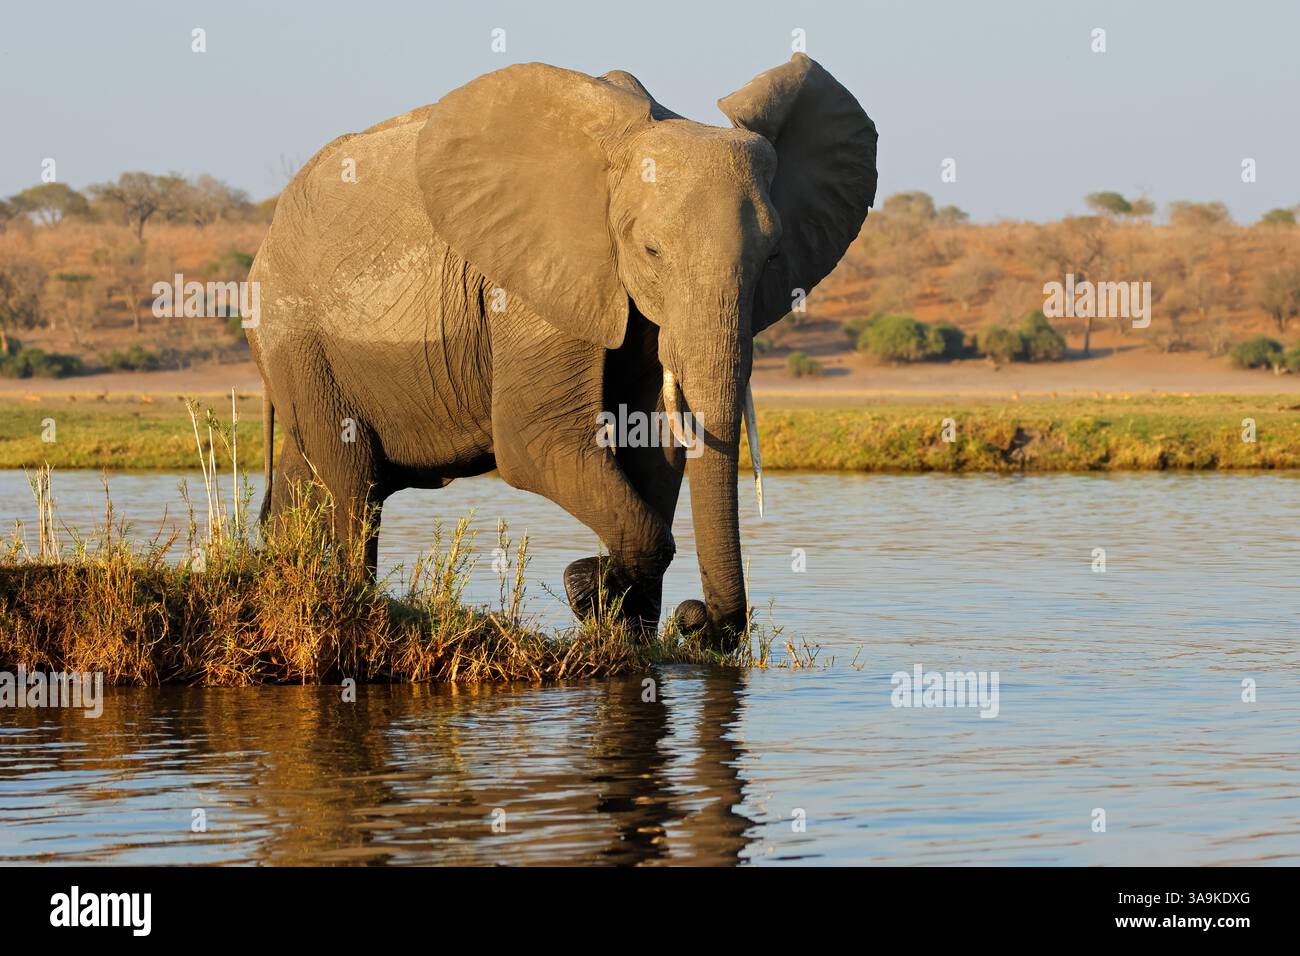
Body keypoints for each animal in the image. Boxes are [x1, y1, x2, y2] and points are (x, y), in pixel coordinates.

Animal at [248, 53, 877, 648]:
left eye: (772, 257)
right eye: (651, 250)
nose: (696, 618)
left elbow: (651, 441)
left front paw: (625, 629)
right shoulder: (539, 276)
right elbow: (537, 441)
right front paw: (587, 586)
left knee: (306, 482)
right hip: (295, 336)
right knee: (354, 484)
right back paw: (348, 605)